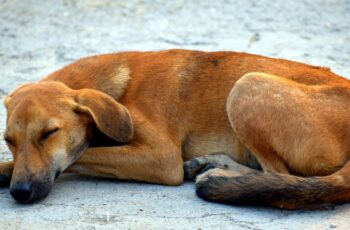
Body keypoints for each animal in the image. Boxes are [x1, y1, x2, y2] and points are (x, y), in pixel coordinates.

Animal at [0, 49, 350, 209]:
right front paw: (5, 169)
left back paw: (226, 178)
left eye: (49, 133)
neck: (119, 89)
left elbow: (84, 154)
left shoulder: (162, 159)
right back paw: (215, 165)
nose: (20, 193)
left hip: (247, 86)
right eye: (9, 140)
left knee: (282, 177)